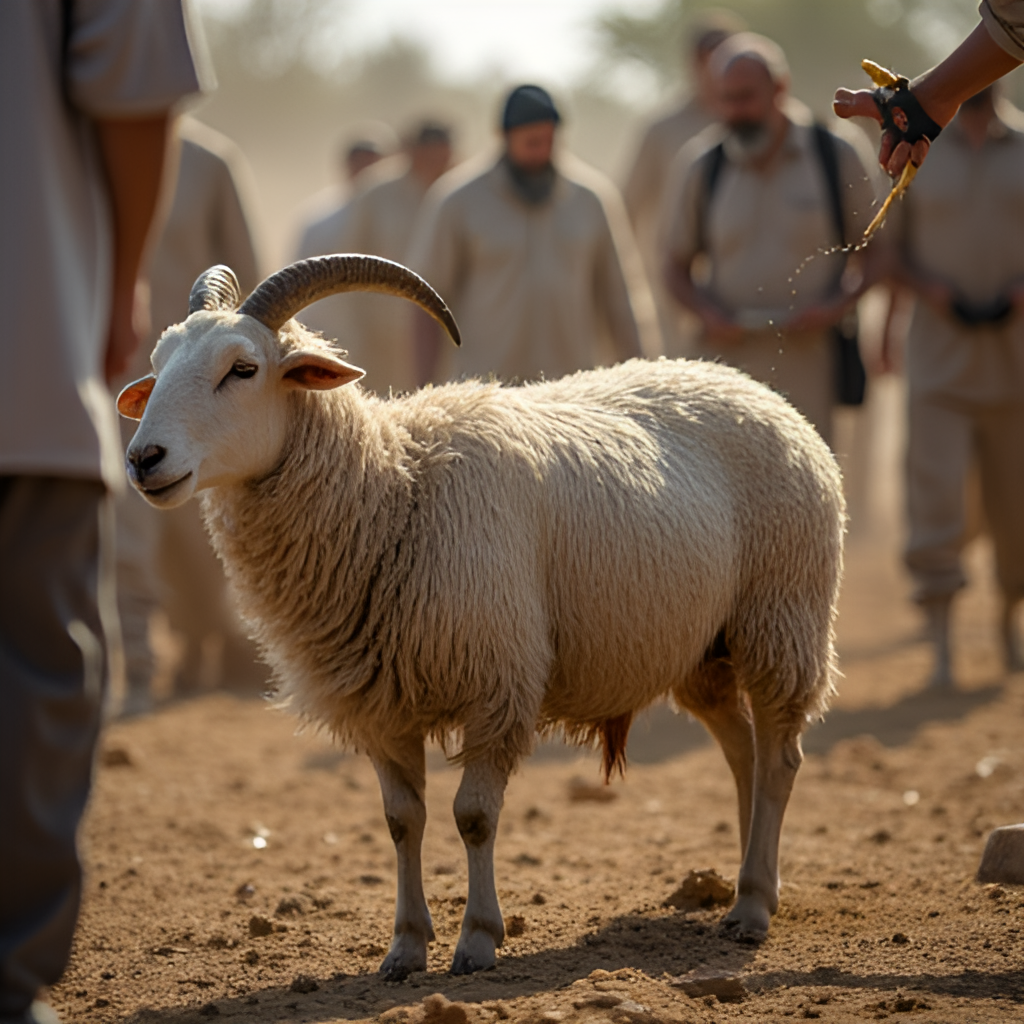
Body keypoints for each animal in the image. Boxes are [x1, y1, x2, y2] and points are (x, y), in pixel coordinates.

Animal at [118, 254, 845, 980]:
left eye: (243, 368)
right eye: (157, 365)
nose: (142, 459)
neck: (395, 489)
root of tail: (751, 385)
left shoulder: (498, 683)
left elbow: (472, 816)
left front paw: (477, 940)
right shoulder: (378, 703)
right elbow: (401, 821)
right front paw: (406, 947)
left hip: (782, 618)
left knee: (780, 758)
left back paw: (752, 908)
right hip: (700, 649)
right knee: (744, 753)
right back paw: (751, 885)